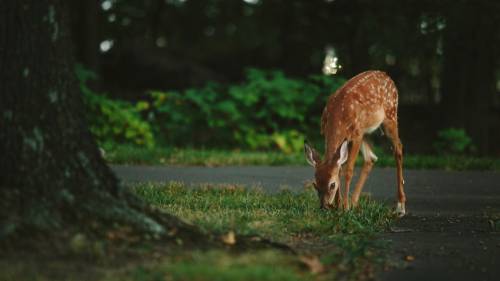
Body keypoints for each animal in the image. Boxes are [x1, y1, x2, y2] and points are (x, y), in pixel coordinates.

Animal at [304, 70, 406, 217]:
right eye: (315, 184)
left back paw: (400, 206)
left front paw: (345, 207)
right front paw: (339, 205)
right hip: (366, 131)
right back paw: (354, 202)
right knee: (371, 158)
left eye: (332, 185)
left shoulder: (356, 135)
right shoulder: (331, 133)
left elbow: (348, 171)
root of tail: (387, 75)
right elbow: (339, 168)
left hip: (390, 115)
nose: (324, 206)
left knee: (398, 148)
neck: (338, 116)